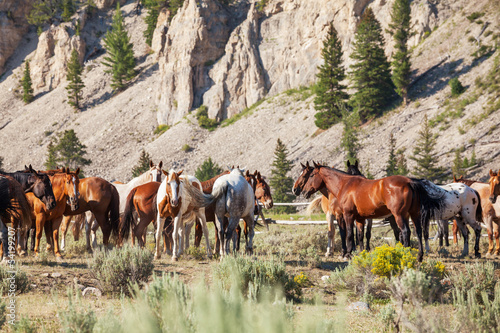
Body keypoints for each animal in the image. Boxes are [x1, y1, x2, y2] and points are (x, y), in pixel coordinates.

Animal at [292, 161, 446, 262]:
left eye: (310, 175)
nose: (300, 191)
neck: (344, 184)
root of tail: (409, 182)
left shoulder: (347, 215)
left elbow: (348, 235)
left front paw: (347, 254)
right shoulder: (360, 219)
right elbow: (359, 236)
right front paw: (360, 253)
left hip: (399, 215)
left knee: (405, 232)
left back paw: (405, 253)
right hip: (413, 214)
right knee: (418, 232)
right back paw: (419, 256)